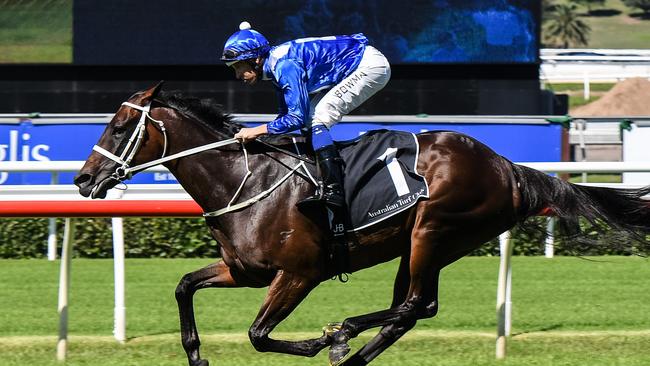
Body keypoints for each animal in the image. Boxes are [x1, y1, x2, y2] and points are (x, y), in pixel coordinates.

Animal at [73, 83, 648, 366]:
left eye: (119, 126)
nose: (82, 180)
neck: (244, 177)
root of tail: (509, 167)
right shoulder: (245, 271)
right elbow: (184, 285)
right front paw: (195, 355)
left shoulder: (300, 274)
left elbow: (259, 334)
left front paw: (318, 342)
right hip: (419, 244)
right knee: (411, 310)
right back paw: (351, 355)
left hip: (433, 230)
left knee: (413, 305)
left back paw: (343, 333)